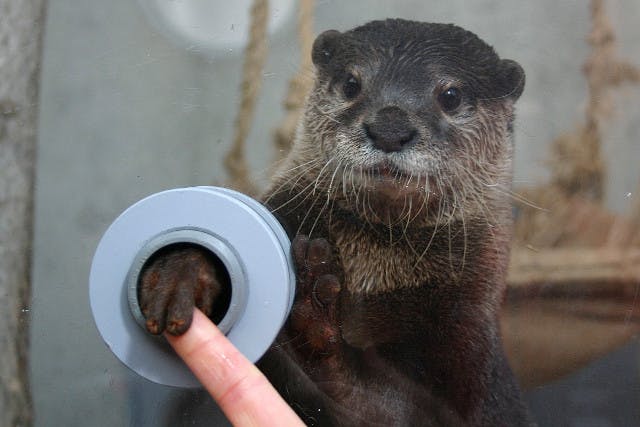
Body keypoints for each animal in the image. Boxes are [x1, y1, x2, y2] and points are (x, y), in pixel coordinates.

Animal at [139, 20, 528, 427]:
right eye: (351, 83)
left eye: (451, 95)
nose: (390, 127)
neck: (376, 273)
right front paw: (182, 271)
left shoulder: (468, 346)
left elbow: (396, 408)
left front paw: (314, 328)